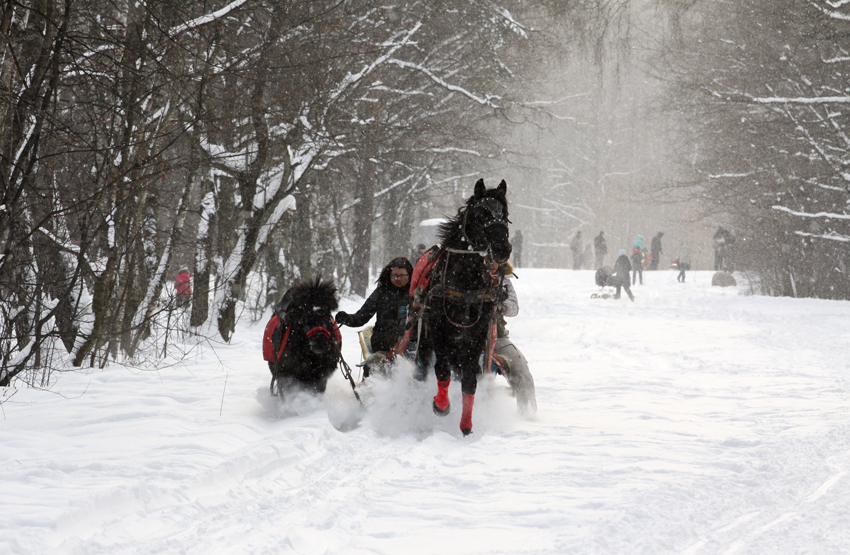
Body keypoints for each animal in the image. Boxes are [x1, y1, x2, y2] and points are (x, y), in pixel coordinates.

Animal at [416, 178, 510, 434]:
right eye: (482, 213)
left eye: (505, 213)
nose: (503, 248)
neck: (465, 283)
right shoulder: (439, 329)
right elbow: (442, 369)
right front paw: (441, 405)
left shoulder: (477, 335)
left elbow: (469, 380)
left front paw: (466, 424)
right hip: (424, 335)